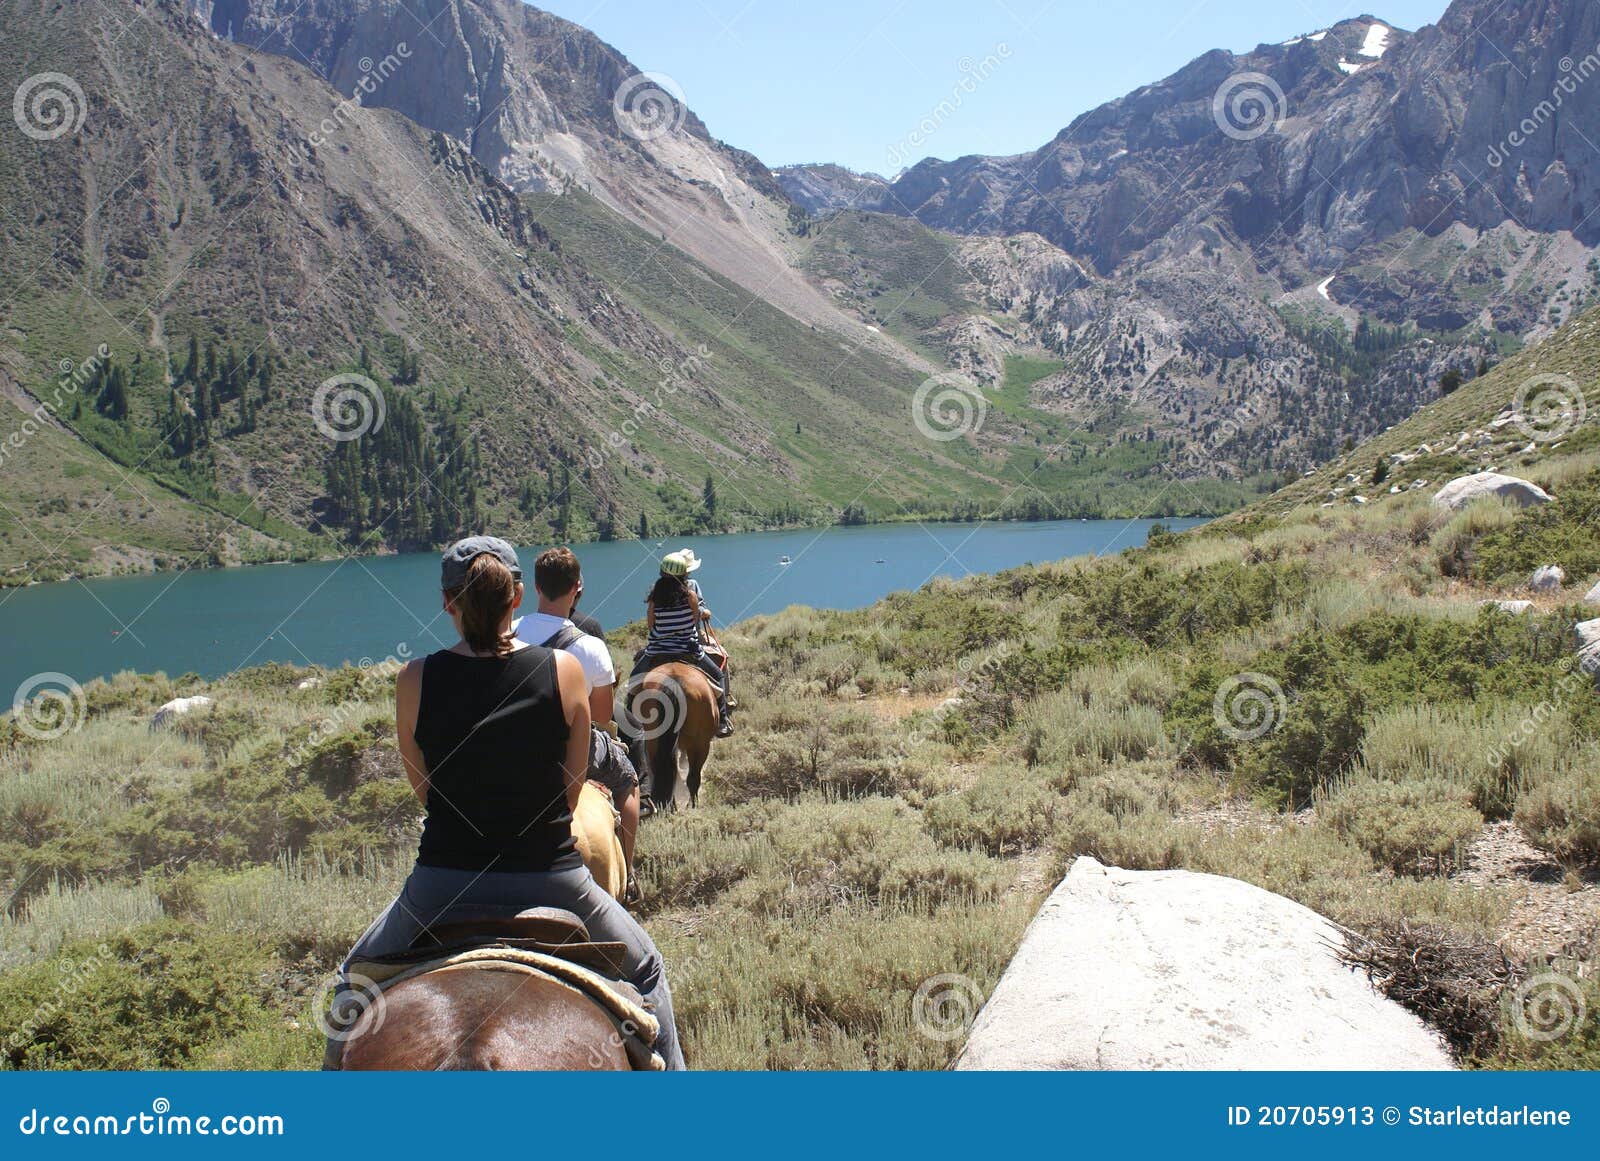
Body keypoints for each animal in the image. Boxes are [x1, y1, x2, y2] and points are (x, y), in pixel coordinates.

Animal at [630, 658, 720, 815]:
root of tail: (673, 682)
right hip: (700, 744)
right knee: (692, 777)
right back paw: (691, 806)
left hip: (653, 742)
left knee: (666, 770)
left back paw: (668, 807)